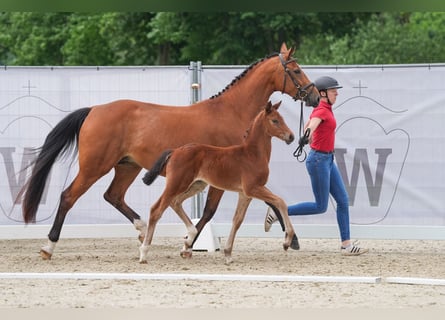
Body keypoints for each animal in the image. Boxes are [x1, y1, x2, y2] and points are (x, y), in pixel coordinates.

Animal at [140, 101, 296, 264]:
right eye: (275, 120)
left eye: (282, 118)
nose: (291, 136)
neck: (252, 154)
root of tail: (175, 151)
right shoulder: (252, 188)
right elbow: (280, 201)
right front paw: (287, 242)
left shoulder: (245, 194)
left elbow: (237, 220)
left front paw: (228, 254)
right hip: (176, 184)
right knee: (156, 210)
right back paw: (144, 253)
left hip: (195, 185)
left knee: (175, 202)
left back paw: (189, 239)